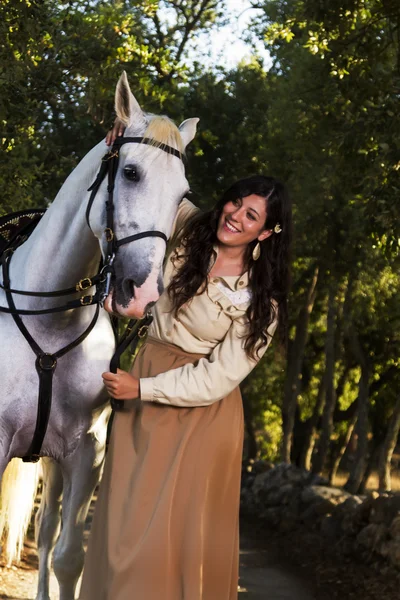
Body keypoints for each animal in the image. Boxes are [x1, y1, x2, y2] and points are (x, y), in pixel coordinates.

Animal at [0, 71, 198, 600]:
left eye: (182, 195)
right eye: (129, 173)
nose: (141, 292)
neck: (49, 320)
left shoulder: (87, 452)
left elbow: (69, 557)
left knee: (47, 529)